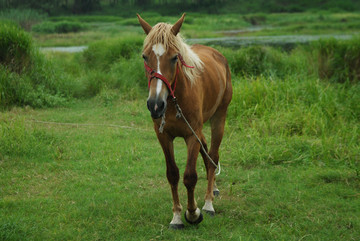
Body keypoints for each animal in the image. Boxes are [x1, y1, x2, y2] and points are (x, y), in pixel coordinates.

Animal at [136, 13, 232, 230]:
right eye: (145, 56)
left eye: (174, 57)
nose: (155, 104)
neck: (175, 100)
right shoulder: (164, 136)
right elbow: (172, 174)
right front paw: (177, 216)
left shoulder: (191, 136)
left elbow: (190, 176)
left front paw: (193, 213)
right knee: (208, 156)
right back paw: (213, 190)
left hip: (219, 117)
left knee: (213, 156)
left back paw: (208, 203)